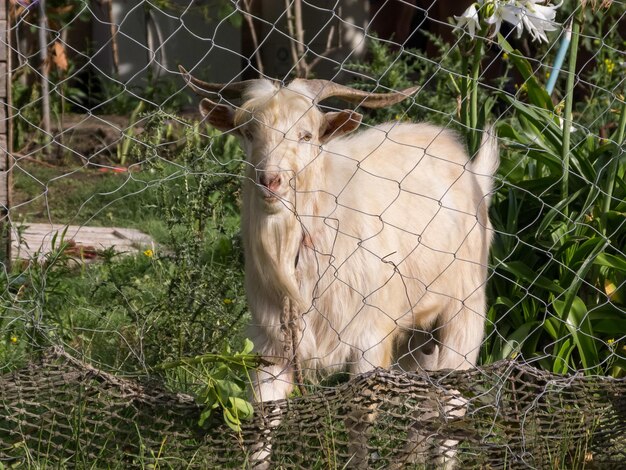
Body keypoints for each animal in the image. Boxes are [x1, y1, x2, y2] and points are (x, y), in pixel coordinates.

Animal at [180, 67, 498, 466]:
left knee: (452, 404)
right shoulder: (272, 344)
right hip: (417, 336)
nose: (270, 181)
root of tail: (471, 172)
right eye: (250, 132)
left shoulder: (369, 341)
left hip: (464, 313)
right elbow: (263, 419)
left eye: (306, 135)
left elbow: (359, 421)